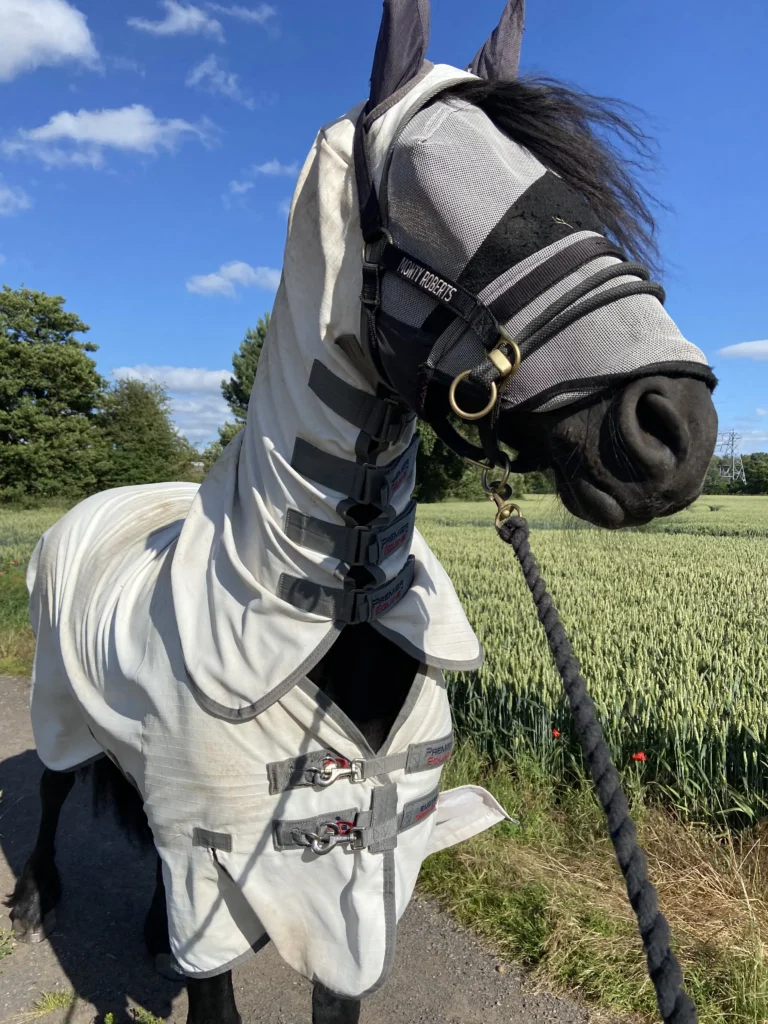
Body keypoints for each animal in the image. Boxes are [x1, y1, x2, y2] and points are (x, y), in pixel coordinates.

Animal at [9, 2, 720, 1024]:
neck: (330, 592)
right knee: (59, 786)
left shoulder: (354, 883)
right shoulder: (224, 861)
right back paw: (34, 899)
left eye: (573, 189)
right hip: (61, 707)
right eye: (422, 186)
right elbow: (210, 984)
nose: (675, 425)